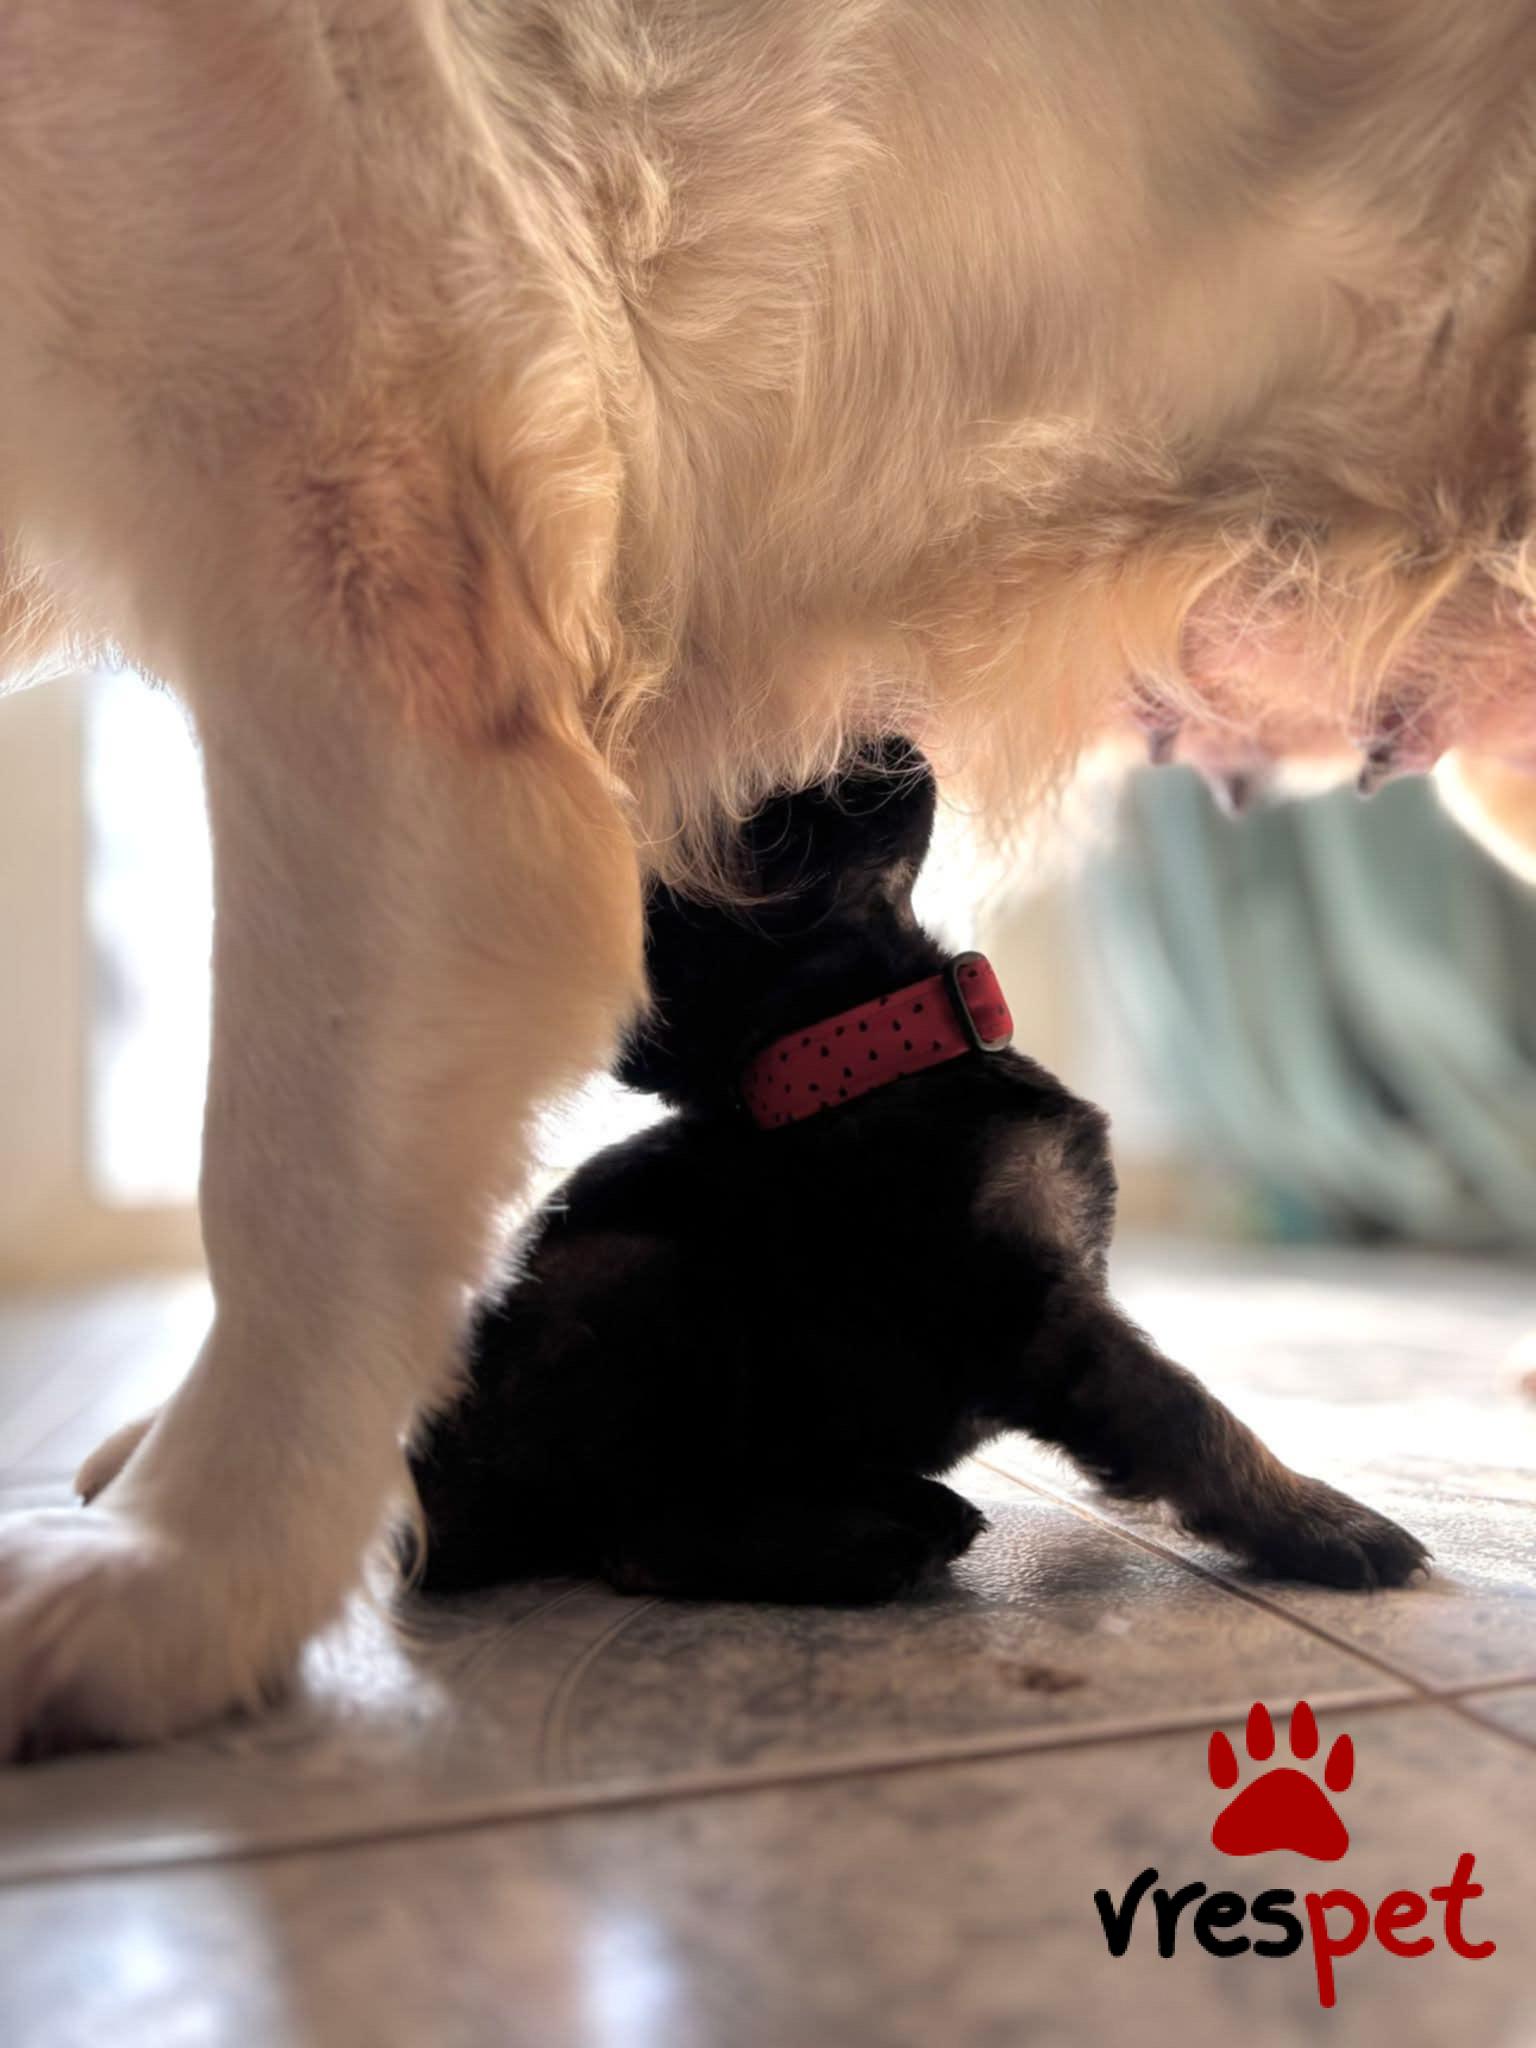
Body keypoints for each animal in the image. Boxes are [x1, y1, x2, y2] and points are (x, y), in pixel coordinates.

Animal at [409, 743, 1425, 1603]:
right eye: (763, 826)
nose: (876, 736)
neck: (858, 1048)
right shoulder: (1030, 1305)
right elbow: (1185, 1410)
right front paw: (1323, 1520)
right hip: (649, 1279)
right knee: (641, 1536)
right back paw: (867, 1544)